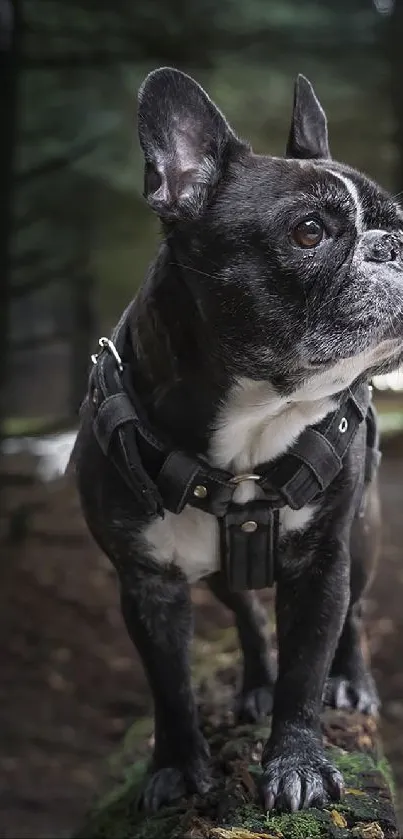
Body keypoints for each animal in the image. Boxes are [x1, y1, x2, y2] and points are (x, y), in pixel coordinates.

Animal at [72, 67, 403, 812]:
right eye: (308, 233)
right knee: (247, 610)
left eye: (398, 222)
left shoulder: (321, 564)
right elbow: (169, 685)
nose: (396, 244)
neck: (254, 426)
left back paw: (352, 681)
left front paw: (297, 762)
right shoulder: (146, 584)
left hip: (363, 532)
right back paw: (254, 683)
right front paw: (175, 767)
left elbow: (306, 670)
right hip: (224, 574)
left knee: (354, 615)